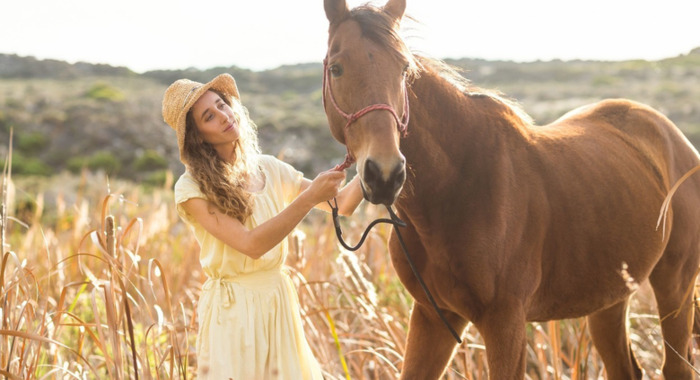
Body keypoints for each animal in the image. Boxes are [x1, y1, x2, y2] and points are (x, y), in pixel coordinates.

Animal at [324, 0, 700, 380]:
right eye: (336, 68)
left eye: (404, 70)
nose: (385, 174)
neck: (458, 186)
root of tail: (673, 137)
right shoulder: (433, 317)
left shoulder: (505, 323)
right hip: (610, 296)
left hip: (675, 286)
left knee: (676, 365)